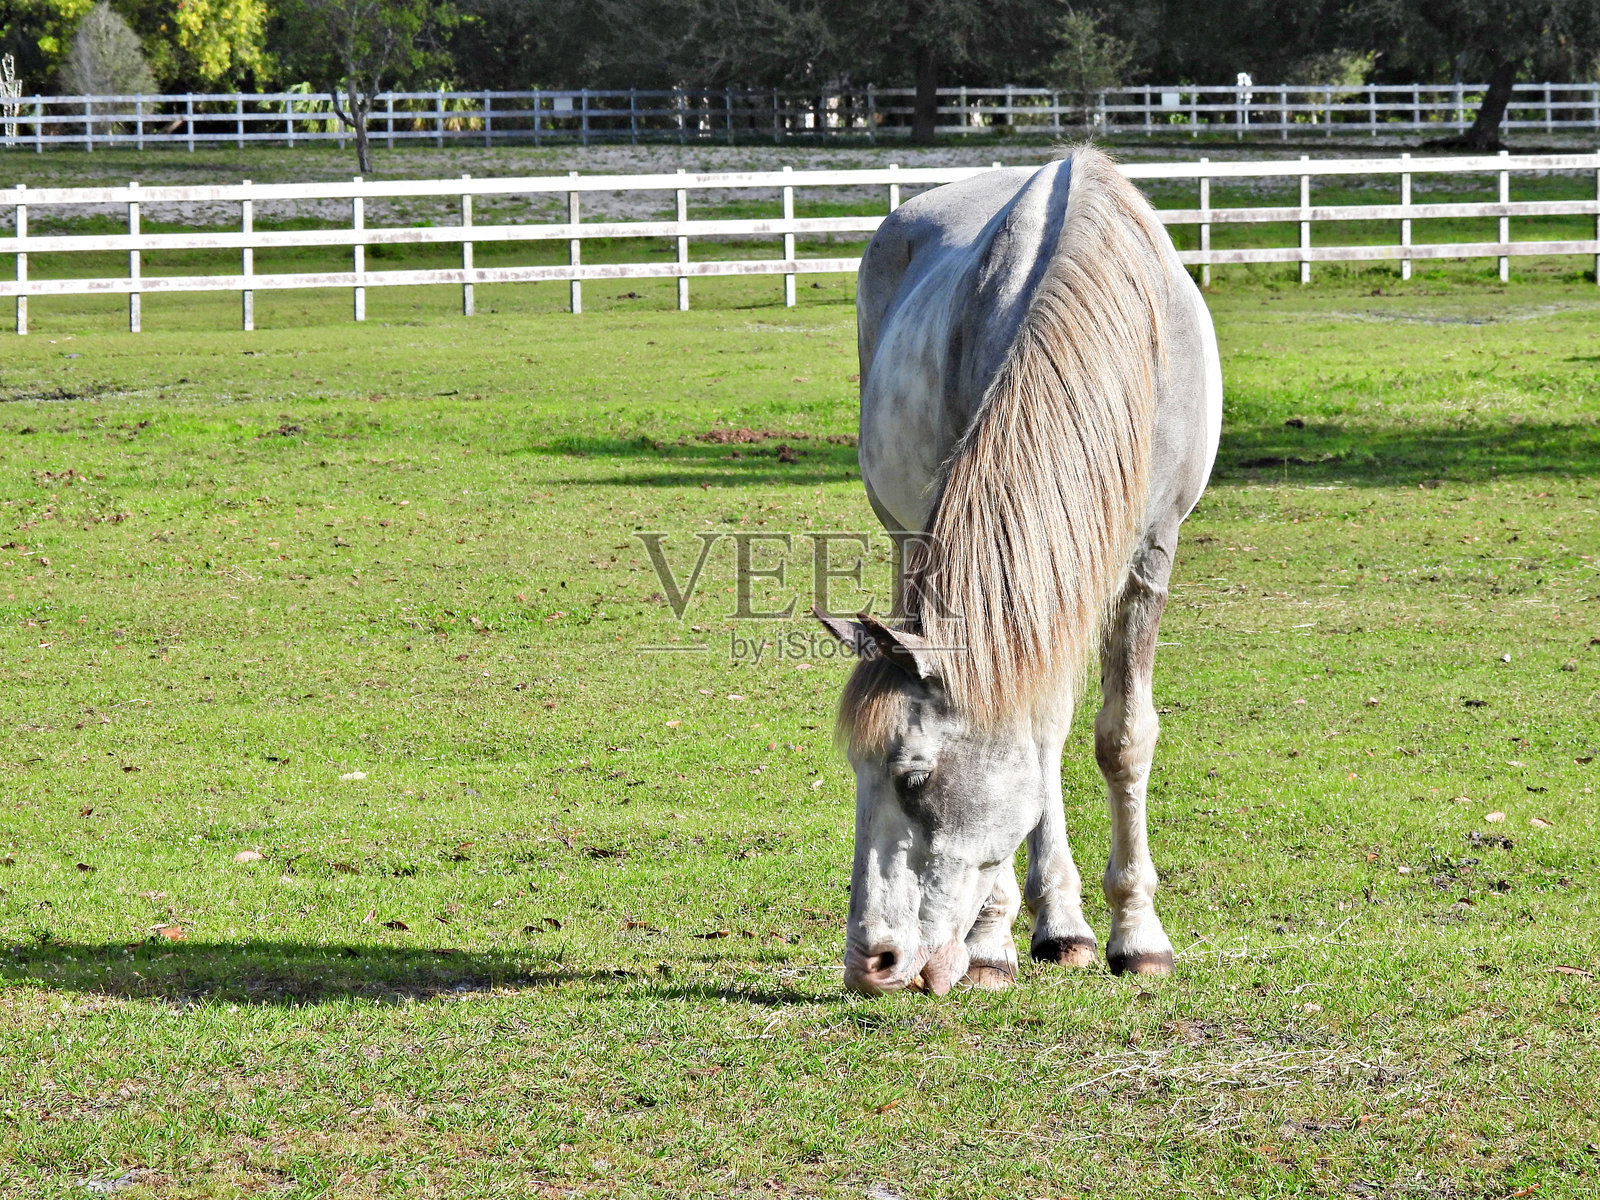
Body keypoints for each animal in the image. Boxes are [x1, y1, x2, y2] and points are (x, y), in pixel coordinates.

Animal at [815, 146, 1222, 995]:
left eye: (913, 777)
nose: (870, 963)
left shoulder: (1148, 557)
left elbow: (1123, 737)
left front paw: (1138, 936)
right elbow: (1033, 737)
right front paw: (997, 940)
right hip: (910, 541)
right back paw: (1049, 924)